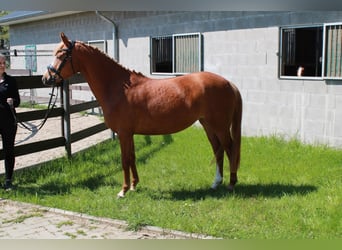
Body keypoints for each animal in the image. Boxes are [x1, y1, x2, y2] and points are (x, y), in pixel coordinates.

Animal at [41, 32, 242, 197]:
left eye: (61, 55)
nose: (46, 78)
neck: (118, 88)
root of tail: (228, 83)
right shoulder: (129, 133)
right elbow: (132, 157)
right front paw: (133, 186)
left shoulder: (123, 133)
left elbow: (124, 160)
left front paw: (122, 191)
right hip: (208, 125)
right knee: (218, 149)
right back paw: (216, 183)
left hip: (220, 126)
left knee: (229, 148)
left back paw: (231, 184)